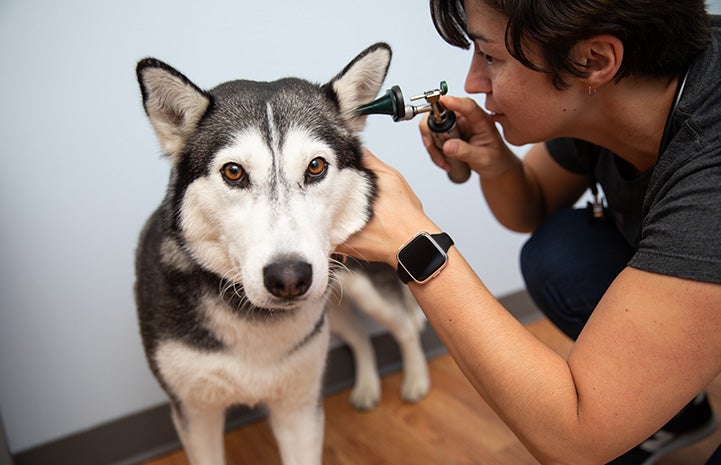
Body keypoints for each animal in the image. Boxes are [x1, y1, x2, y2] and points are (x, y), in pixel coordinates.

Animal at [135, 43, 428, 464]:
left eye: (316, 166)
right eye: (233, 172)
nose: (289, 278)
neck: (252, 318)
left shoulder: (299, 408)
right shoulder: (195, 413)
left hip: (365, 290)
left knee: (404, 326)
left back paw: (417, 379)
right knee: (358, 334)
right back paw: (367, 386)